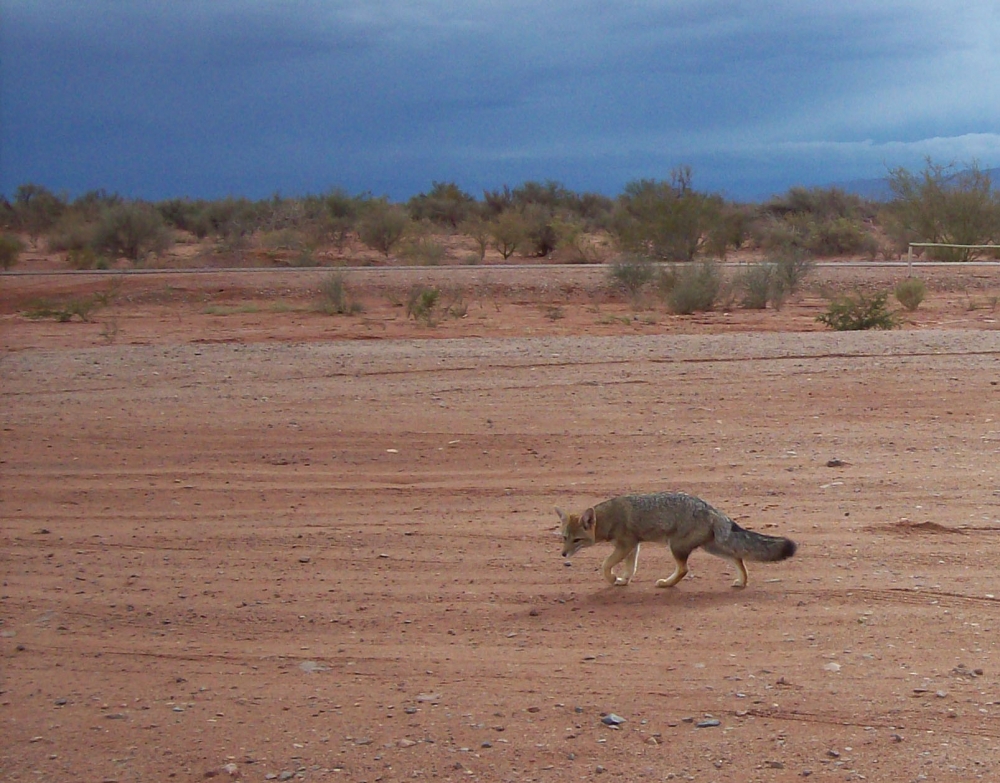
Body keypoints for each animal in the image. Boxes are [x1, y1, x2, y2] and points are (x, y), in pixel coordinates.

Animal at [556, 496, 796, 588]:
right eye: (564, 538)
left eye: (576, 540)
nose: (563, 554)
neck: (609, 516)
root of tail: (712, 509)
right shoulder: (633, 545)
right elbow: (630, 567)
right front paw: (623, 580)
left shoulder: (625, 544)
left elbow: (605, 564)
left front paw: (612, 578)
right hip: (712, 547)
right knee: (738, 557)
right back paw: (741, 581)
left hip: (677, 546)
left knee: (684, 569)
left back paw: (666, 583)